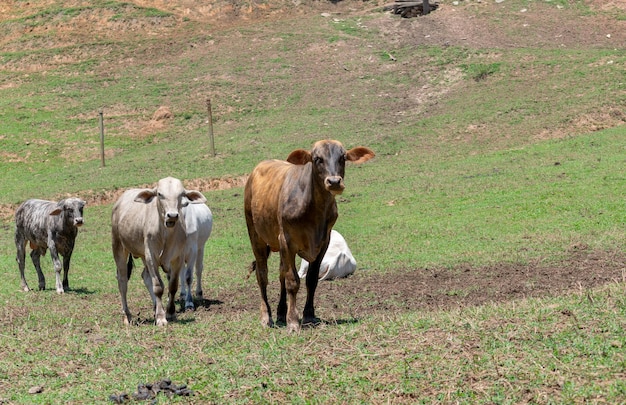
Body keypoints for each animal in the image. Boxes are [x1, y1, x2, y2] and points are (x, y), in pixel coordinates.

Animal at [111, 177, 206, 326]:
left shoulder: (178, 257)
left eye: (181, 194)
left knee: (145, 276)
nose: (172, 215)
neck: (166, 233)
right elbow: (158, 287)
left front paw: (171, 313)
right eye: (160, 194)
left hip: (143, 255)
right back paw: (127, 315)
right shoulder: (151, 256)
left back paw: (155, 307)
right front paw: (161, 318)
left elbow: (173, 285)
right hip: (119, 247)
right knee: (122, 280)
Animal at [241, 139, 372, 332]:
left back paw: (281, 312)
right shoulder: (286, 241)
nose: (334, 182)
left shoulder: (323, 243)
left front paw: (308, 315)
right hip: (255, 236)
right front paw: (293, 322)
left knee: (281, 273)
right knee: (262, 275)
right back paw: (266, 316)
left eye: (343, 157)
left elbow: (311, 279)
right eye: (317, 159)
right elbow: (293, 281)